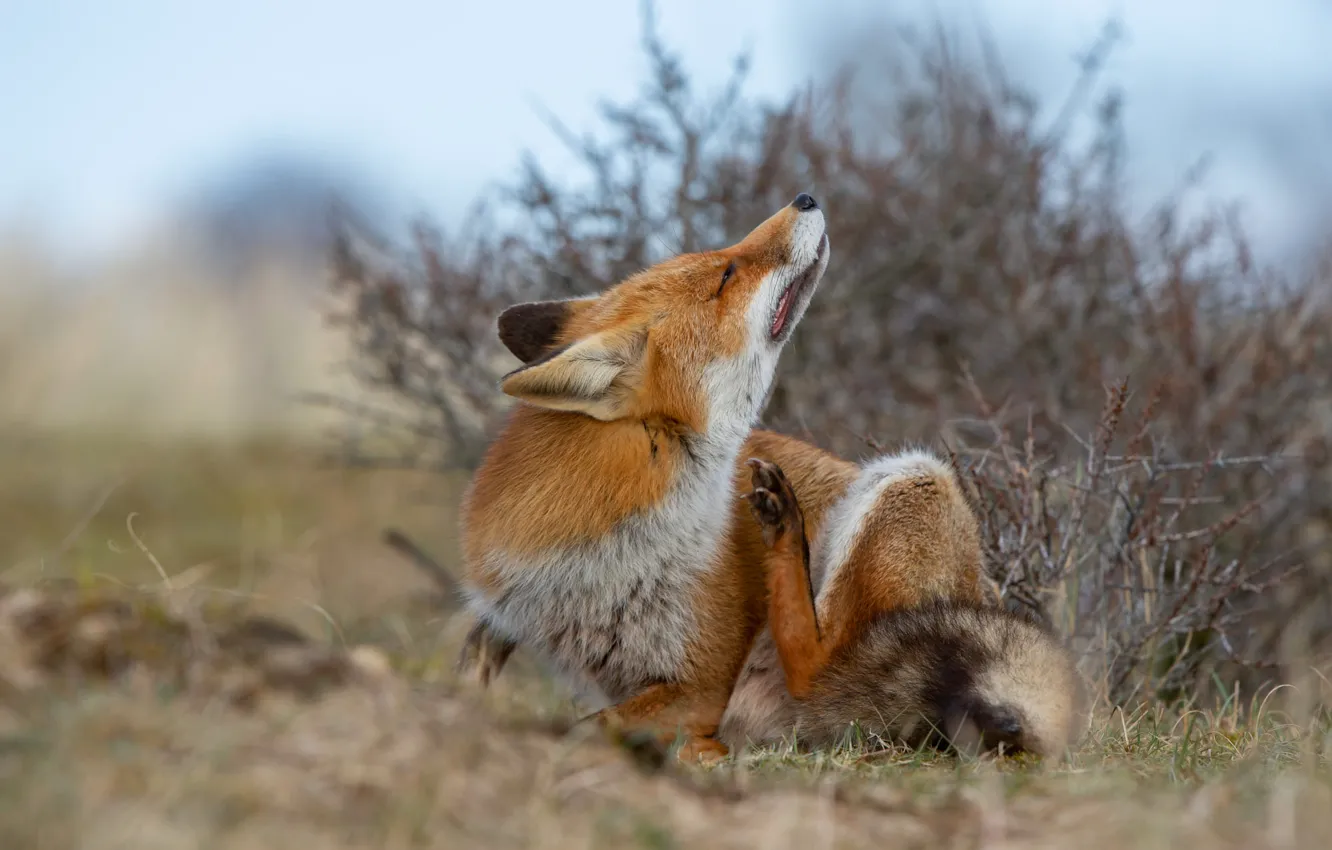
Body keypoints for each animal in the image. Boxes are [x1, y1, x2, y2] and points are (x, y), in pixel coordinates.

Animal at [456, 193, 1076, 762]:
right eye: (725, 274)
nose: (805, 196)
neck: (598, 551)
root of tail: (985, 591)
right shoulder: (509, 611)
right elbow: (476, 671)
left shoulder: (702, 681)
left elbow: (585, 726)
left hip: (908, 480)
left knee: (819, 669)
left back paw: (784, 533)